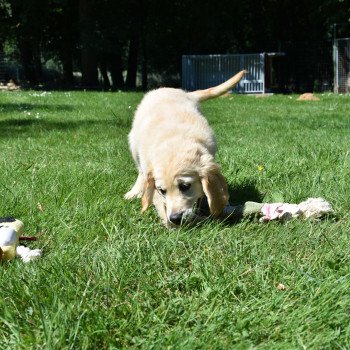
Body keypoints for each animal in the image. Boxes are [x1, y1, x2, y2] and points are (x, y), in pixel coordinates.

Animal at [125, 70, 246, 227]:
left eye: (185, 186)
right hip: (133, 144)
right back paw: (134, 192)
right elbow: (157, 199)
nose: (175, 218)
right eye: (162, 190)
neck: (175, 141)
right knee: (140, 171)